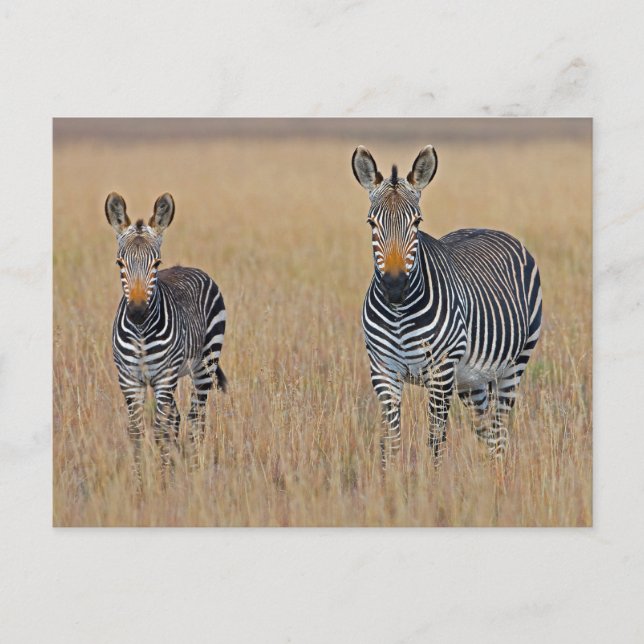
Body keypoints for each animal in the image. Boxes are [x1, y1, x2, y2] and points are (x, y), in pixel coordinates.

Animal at [105, 192, 227, 471]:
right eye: (119, 263)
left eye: (157, 263)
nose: (137, 312)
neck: (141, 333)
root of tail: (186, 266)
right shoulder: (129, 380)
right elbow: (137, 432)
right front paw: (141, 480)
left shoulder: (164, 378)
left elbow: (160, 431)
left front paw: (163, 481)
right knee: (178, 419)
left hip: (205, 365)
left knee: (195, 419)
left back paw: (194, 470)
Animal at [352, 145, 542, 466]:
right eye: (371, 223)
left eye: (417, 222)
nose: (394, 287)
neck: (399, 314)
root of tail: (489, 228)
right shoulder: (382, 370)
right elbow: (390, 442)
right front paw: (388, 479)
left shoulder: (440, 372)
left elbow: (435, 441)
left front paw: (432, 480)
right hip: (471, 379)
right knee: (485, 430)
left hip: (514, 364)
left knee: (499, 431)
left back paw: (498, 475)